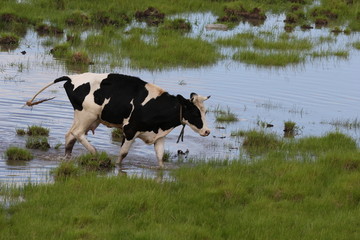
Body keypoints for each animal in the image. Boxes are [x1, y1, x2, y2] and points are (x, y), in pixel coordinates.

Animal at [26, 72, 211, 168]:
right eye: (194, 112)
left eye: (205, 111)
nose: (207, 131)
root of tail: (72, 78)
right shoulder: (129, 129)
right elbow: (123, 153)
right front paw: (116, 166)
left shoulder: (159, 136)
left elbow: (160, 158)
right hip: (87, 115)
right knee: (77, 133)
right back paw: (95, 153)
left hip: (83, 117)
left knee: (70, 136)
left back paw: (68, 158)